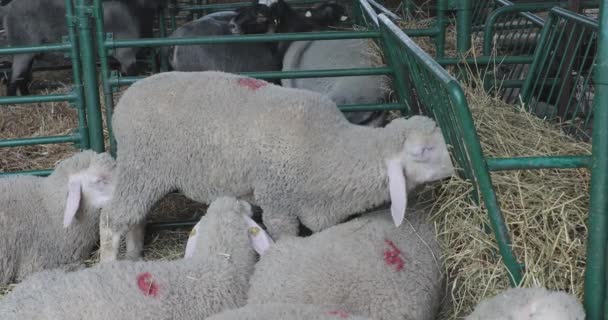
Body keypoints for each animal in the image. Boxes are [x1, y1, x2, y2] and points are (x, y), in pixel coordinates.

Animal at [97, 71, 454, 262]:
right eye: (423, 151)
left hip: (141, 171)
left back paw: (134, 256)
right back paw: (109, 263)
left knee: (134, 215)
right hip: (144, 166)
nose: (455, 169)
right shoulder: (278, 203)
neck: (331, 148)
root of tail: (123, 101)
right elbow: (283, 236)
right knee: (112, 218)